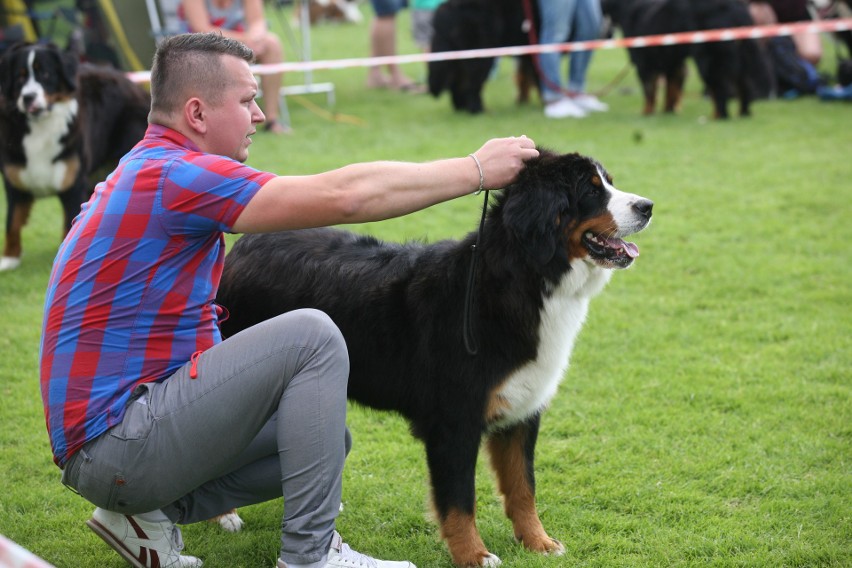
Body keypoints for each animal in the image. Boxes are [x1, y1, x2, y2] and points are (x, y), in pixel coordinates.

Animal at [0, 42, 150, 270]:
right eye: (19, 77)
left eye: (45, 74)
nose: (28, 97)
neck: (40, 129)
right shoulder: (14, 181)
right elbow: (12, 221)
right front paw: (9, 259)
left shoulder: (72, 185)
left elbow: (69, 224)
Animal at [215, 149, 652, 564]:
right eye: (591, 191)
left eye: (609, 183)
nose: (647, 206)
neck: (523, 280)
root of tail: (247, 246)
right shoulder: (455, 421)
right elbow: (459, 501)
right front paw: (473, 555)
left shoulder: (523, 412)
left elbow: (523, 487)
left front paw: (538, 542)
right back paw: (225, 515)